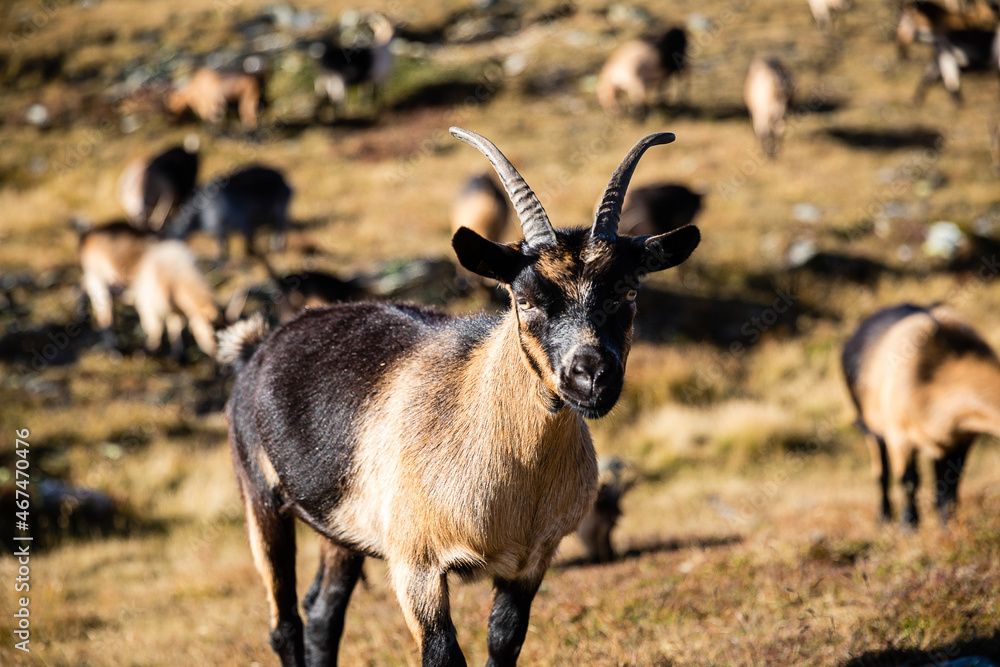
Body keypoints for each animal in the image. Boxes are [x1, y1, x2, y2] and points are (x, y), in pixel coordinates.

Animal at [79, 221, 218, 357]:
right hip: (98, 283)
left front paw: (177, 354)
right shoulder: (148, 306)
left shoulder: (172, 309)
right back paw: (113, 350)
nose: (217, 352)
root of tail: (88, 235)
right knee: (105, 318)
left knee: (82, 288)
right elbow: (156, 329)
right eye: (214, 333)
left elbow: (175, 328)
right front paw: (147, 351)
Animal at [217, 127, 700, 666]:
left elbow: (504, 642)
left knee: (323, 612)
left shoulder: (531, 562)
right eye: (523, 300)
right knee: (285, 624)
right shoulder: (415, 565)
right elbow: (443, 654)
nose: (591, 376)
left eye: (627, 293)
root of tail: (259, 347)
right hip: (260, 497)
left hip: (342, 526)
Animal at [842, 303, 1000, 527]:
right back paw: (884, 516)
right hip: (870, 425)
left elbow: (949, 489)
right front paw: (909, 525)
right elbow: (908, 480)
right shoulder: (899, 436)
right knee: (882, 473)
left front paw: (948, 526)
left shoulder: (960, 440)